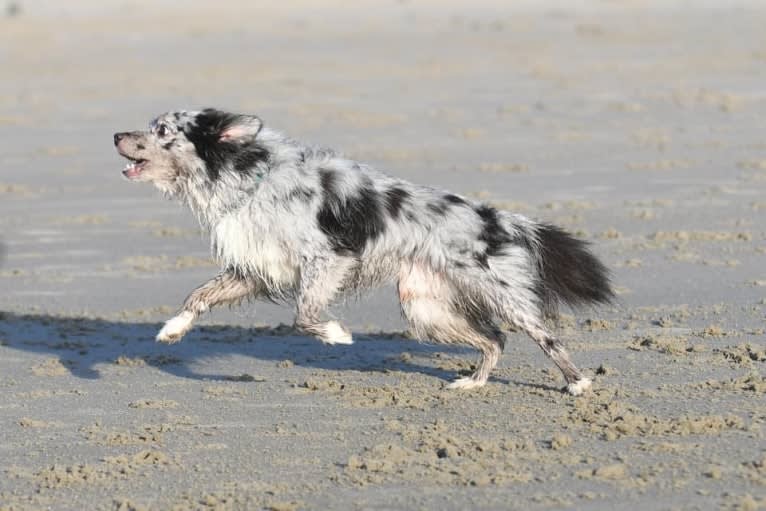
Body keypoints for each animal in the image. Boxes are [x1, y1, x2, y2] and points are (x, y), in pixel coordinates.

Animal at [114, 109, 616, 396]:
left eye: (162, 130)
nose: (116, 134)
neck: (249, 177)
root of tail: (499, 219)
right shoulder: (254, 269)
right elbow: (197, 296)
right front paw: (172, 330)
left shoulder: (327, 259)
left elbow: (304, 315)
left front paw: (337, 335)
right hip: (425, 307)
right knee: (494, 340)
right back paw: (472, 383)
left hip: (502, 295)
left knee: (544, 337)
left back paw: (577, 383)